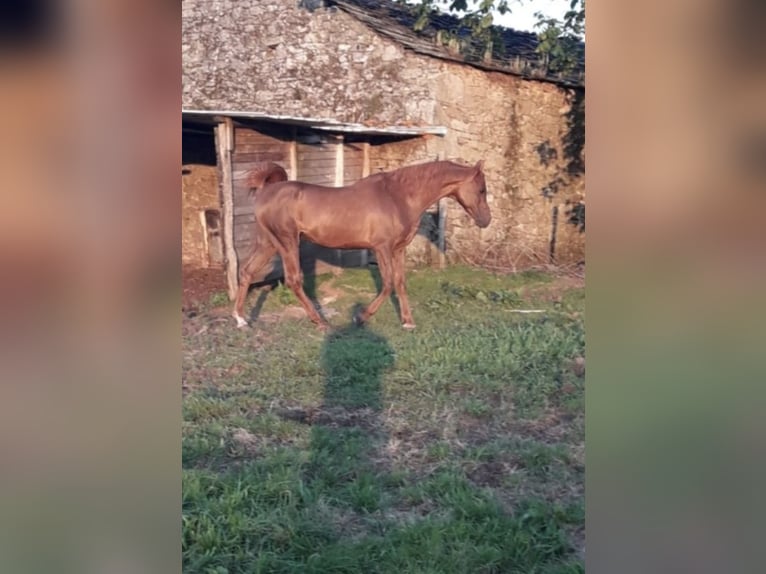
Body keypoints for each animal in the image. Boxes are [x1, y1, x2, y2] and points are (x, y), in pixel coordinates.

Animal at [232, 160, 492, 330]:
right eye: (481, 189)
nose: (486, 220)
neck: (397, 196)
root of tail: (266, 190)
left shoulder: (398, 250)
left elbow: (400, 283)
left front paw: (408, 322)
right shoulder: (382, 248)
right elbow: (387, 284)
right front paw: (361, 317)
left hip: (268, 243)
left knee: (246, 272)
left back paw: (241, 319)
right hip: (287, 242)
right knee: (293, 280)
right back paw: (320, 322)